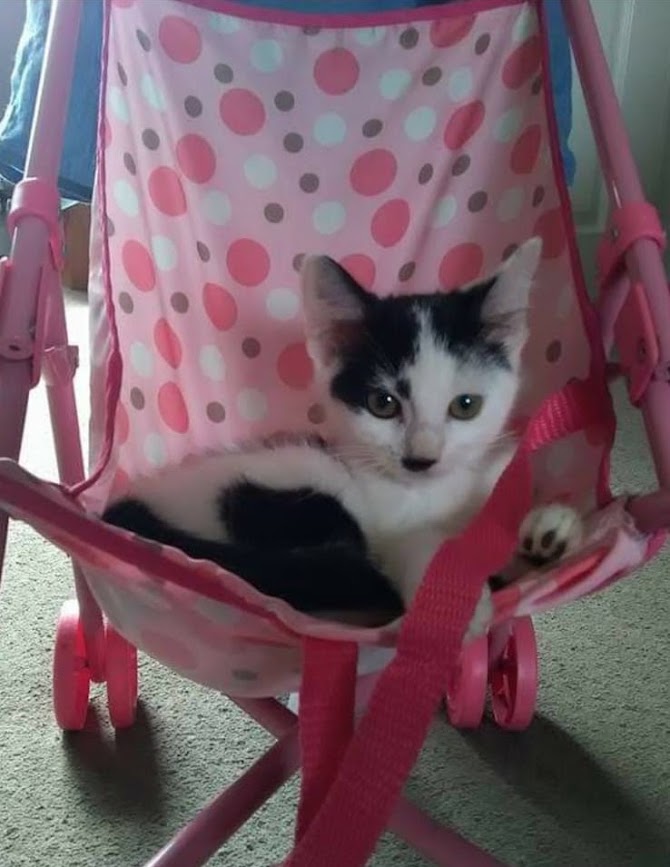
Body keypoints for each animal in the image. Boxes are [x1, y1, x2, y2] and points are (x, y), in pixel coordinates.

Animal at [103, 239, 584, 624]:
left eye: (466, 405)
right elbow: (420, 548)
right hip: (276, 493)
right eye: (382, 404)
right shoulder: (386, 529)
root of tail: (125, 505)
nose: (421, 459)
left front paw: (549, 530)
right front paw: (452, 605)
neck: (436, 494)